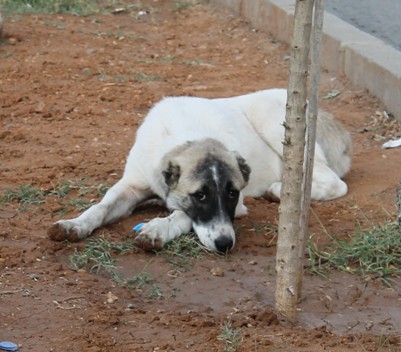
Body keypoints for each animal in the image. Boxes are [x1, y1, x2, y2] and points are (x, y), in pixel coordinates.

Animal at [48, 89, 352, 252]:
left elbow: (182, 215)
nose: (225, 244)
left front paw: (158, 228)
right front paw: (75, 224)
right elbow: (99, 207)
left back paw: (280, 189)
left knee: (334, 182)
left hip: (277, 120)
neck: (187, 135)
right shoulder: (131, 186)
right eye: (201, 195)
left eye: (232, 194)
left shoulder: (237, 206)